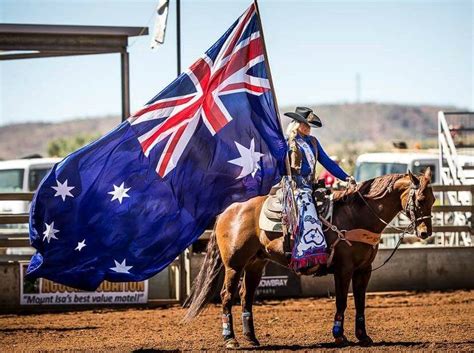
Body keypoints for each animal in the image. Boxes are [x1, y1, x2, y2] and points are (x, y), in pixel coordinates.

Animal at [183, 169, 436, 348]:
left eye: (433, 200)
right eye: (420, 199)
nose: (425, 233)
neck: (357, 216)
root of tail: (228, 210)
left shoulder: (364, 270)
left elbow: (360, 302)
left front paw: (363, 336)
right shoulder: (343, 269)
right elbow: (342, 301)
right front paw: (339, 336)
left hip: (255, 264)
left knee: (246, 296)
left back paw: (252, 338)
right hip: (234, 265)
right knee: (227, 296)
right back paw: (230, 339)